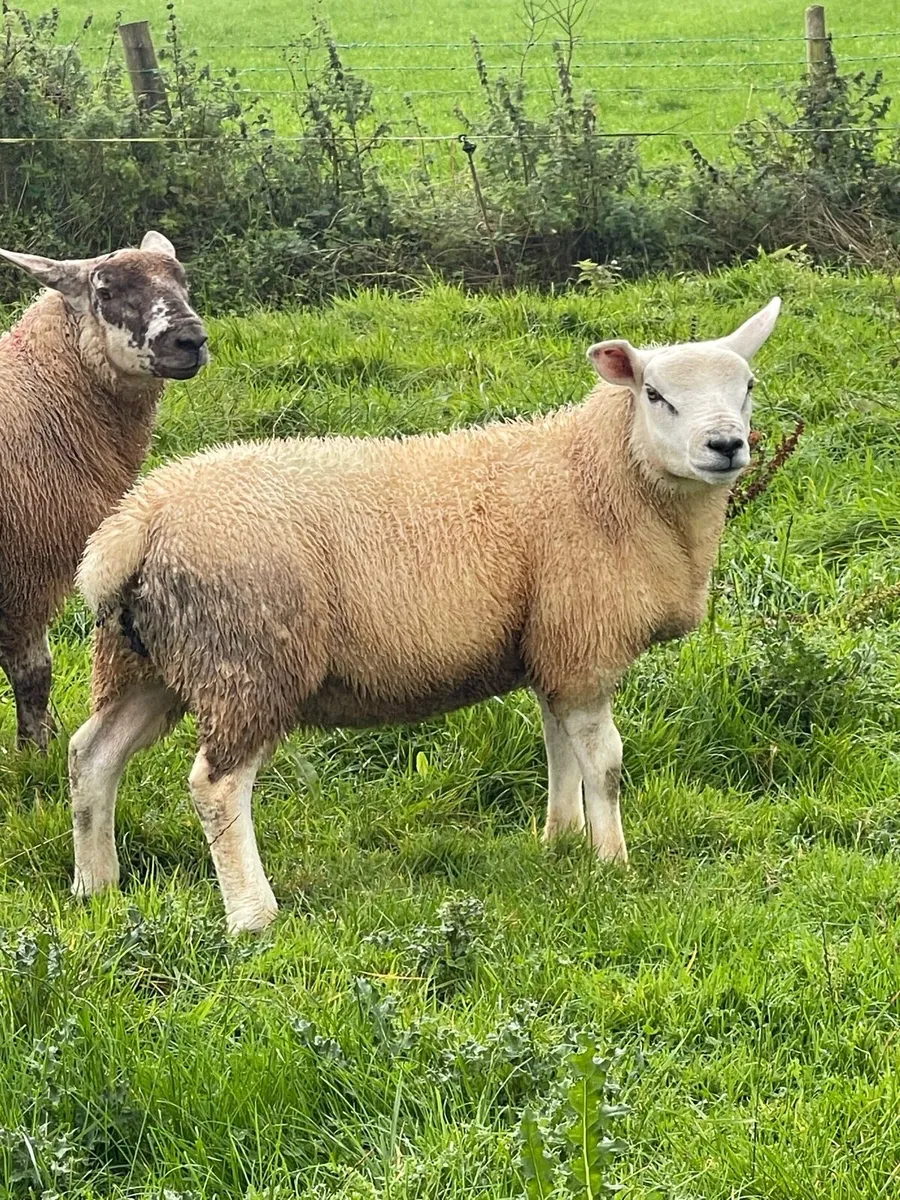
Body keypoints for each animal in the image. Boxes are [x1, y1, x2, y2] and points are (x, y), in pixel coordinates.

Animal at [0, 231, 208, 750]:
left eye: (183, 282)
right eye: (107, 292)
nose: (191, 341)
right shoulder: (24, 571)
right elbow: (33, 673)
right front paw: (35, 749)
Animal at [69, 297, 781, 933]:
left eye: (748, 386)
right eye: (655, 395)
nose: (726, 445)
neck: (602, 476)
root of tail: (138, 520)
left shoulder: (552, 644)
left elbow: (557, 747)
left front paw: (560, 841)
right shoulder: (585, 640)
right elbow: (603, 762)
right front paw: (613, 864)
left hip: (148, 658)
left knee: (92, 754)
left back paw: (96, 886)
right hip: (246, 658)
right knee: (216, 786)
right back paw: (252, 916)